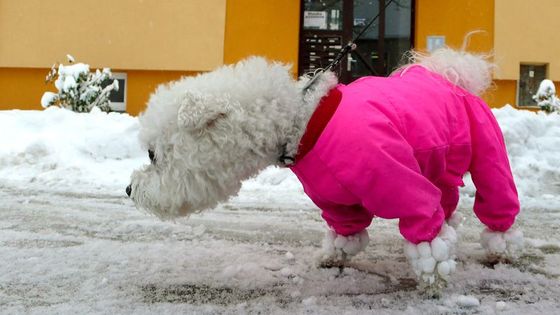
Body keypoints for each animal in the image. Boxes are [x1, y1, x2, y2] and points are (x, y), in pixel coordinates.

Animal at [129, 49, 524, 294]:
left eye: (153, 154)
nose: (129, 191)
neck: (302, 122)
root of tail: (452, 75)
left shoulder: (402, 184)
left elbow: (424, 226)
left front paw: (434, 279)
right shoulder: (336, 199)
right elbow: (346, 228)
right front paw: (335, 256)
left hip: (488, 157)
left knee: (496, 204)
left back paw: (500, 249)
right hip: (440, 166)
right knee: (448, 198)